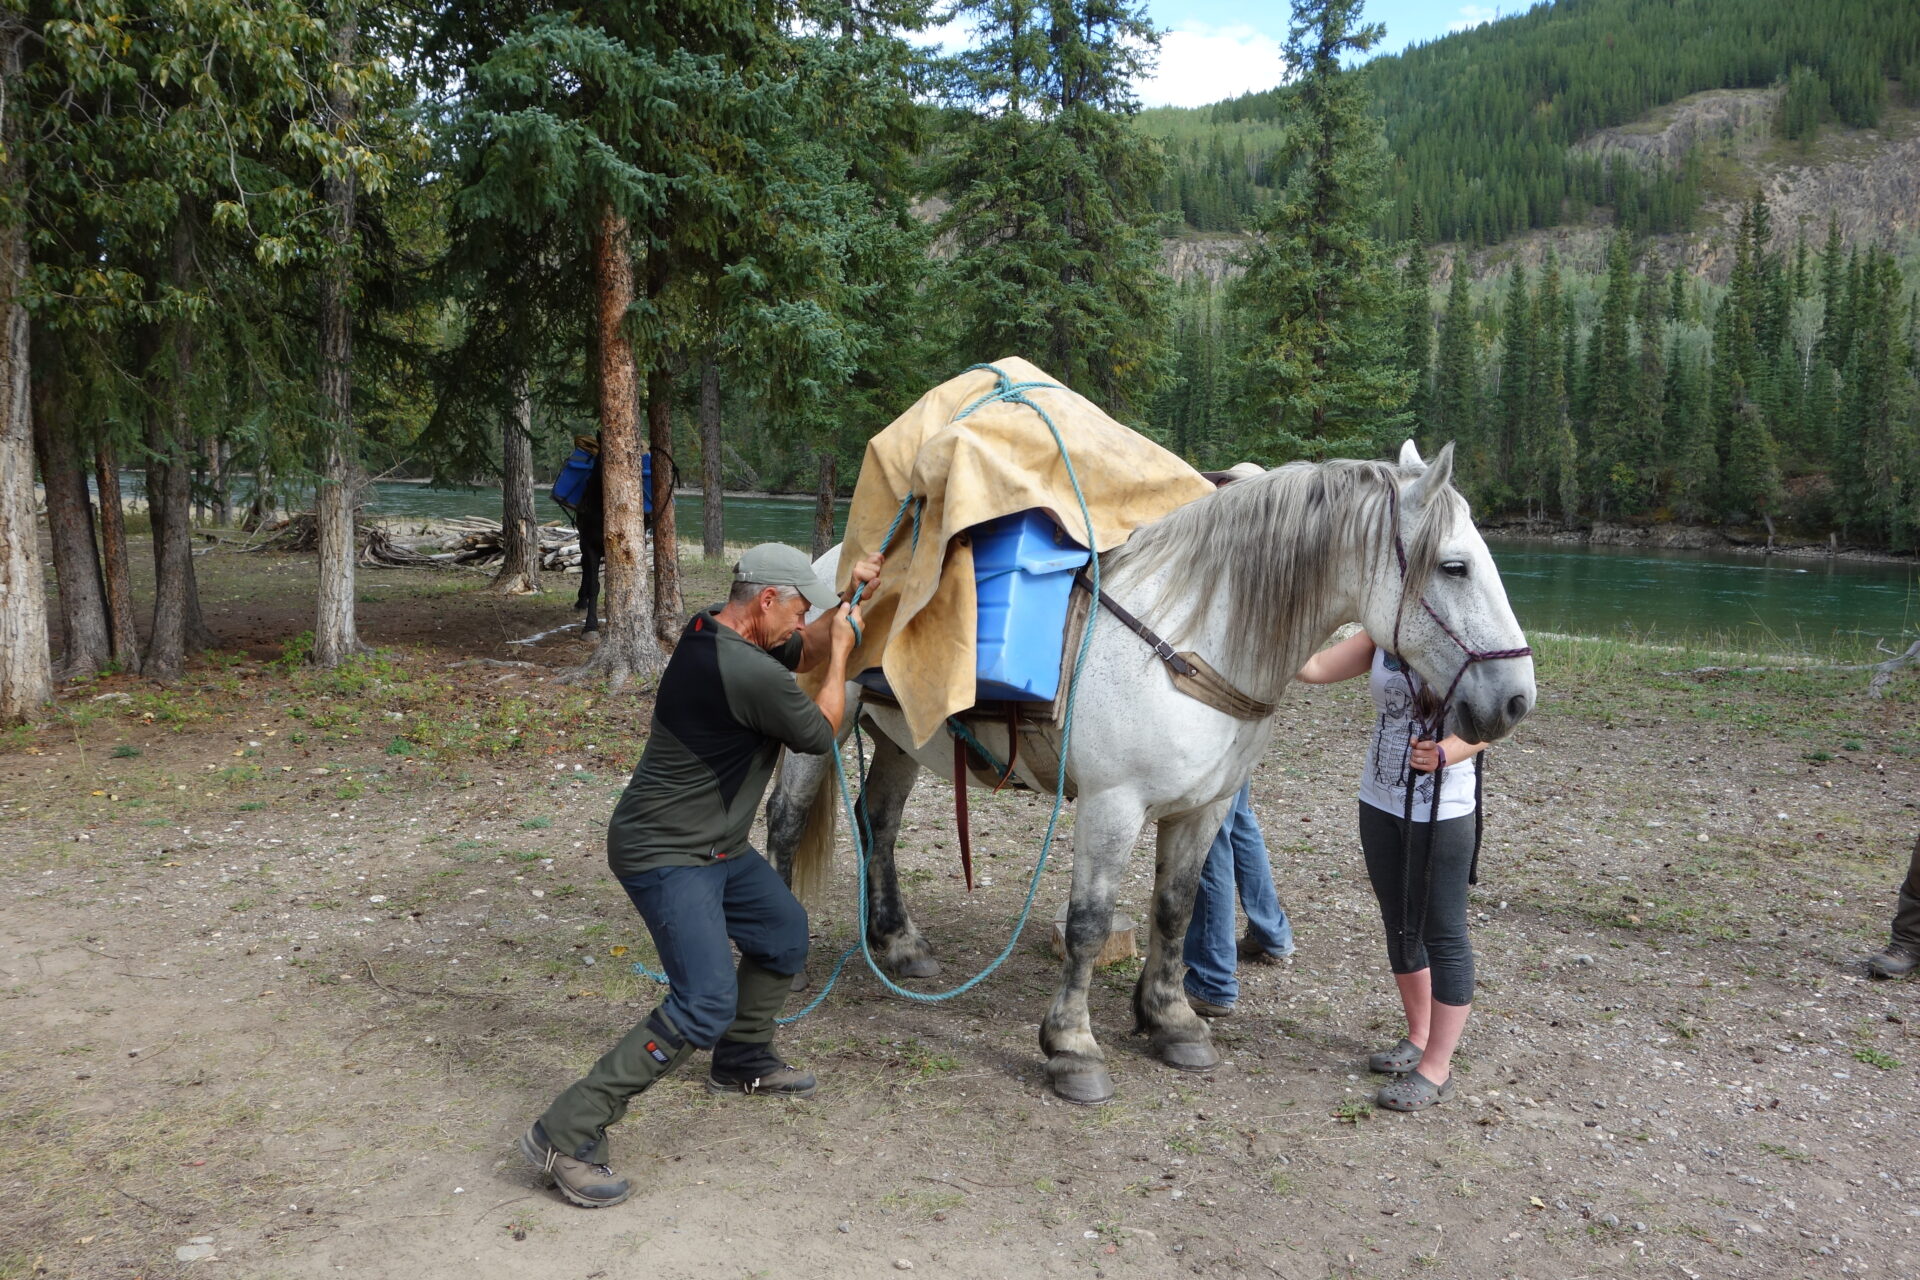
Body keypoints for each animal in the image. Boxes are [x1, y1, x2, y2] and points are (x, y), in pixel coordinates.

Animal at [764, 443, 1528, 1105]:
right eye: (1455, 566)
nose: (1517, 698)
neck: (1188, 639)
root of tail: (840, 565)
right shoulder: (1113, 805)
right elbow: (1088, 925)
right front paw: (1072, 1050)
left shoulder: (1204, 808)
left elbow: (1175, 910)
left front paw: (1172, 1022)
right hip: (822, 726)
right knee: (786, 821)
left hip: (901, 740)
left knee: (879, 824)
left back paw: (898, 944)